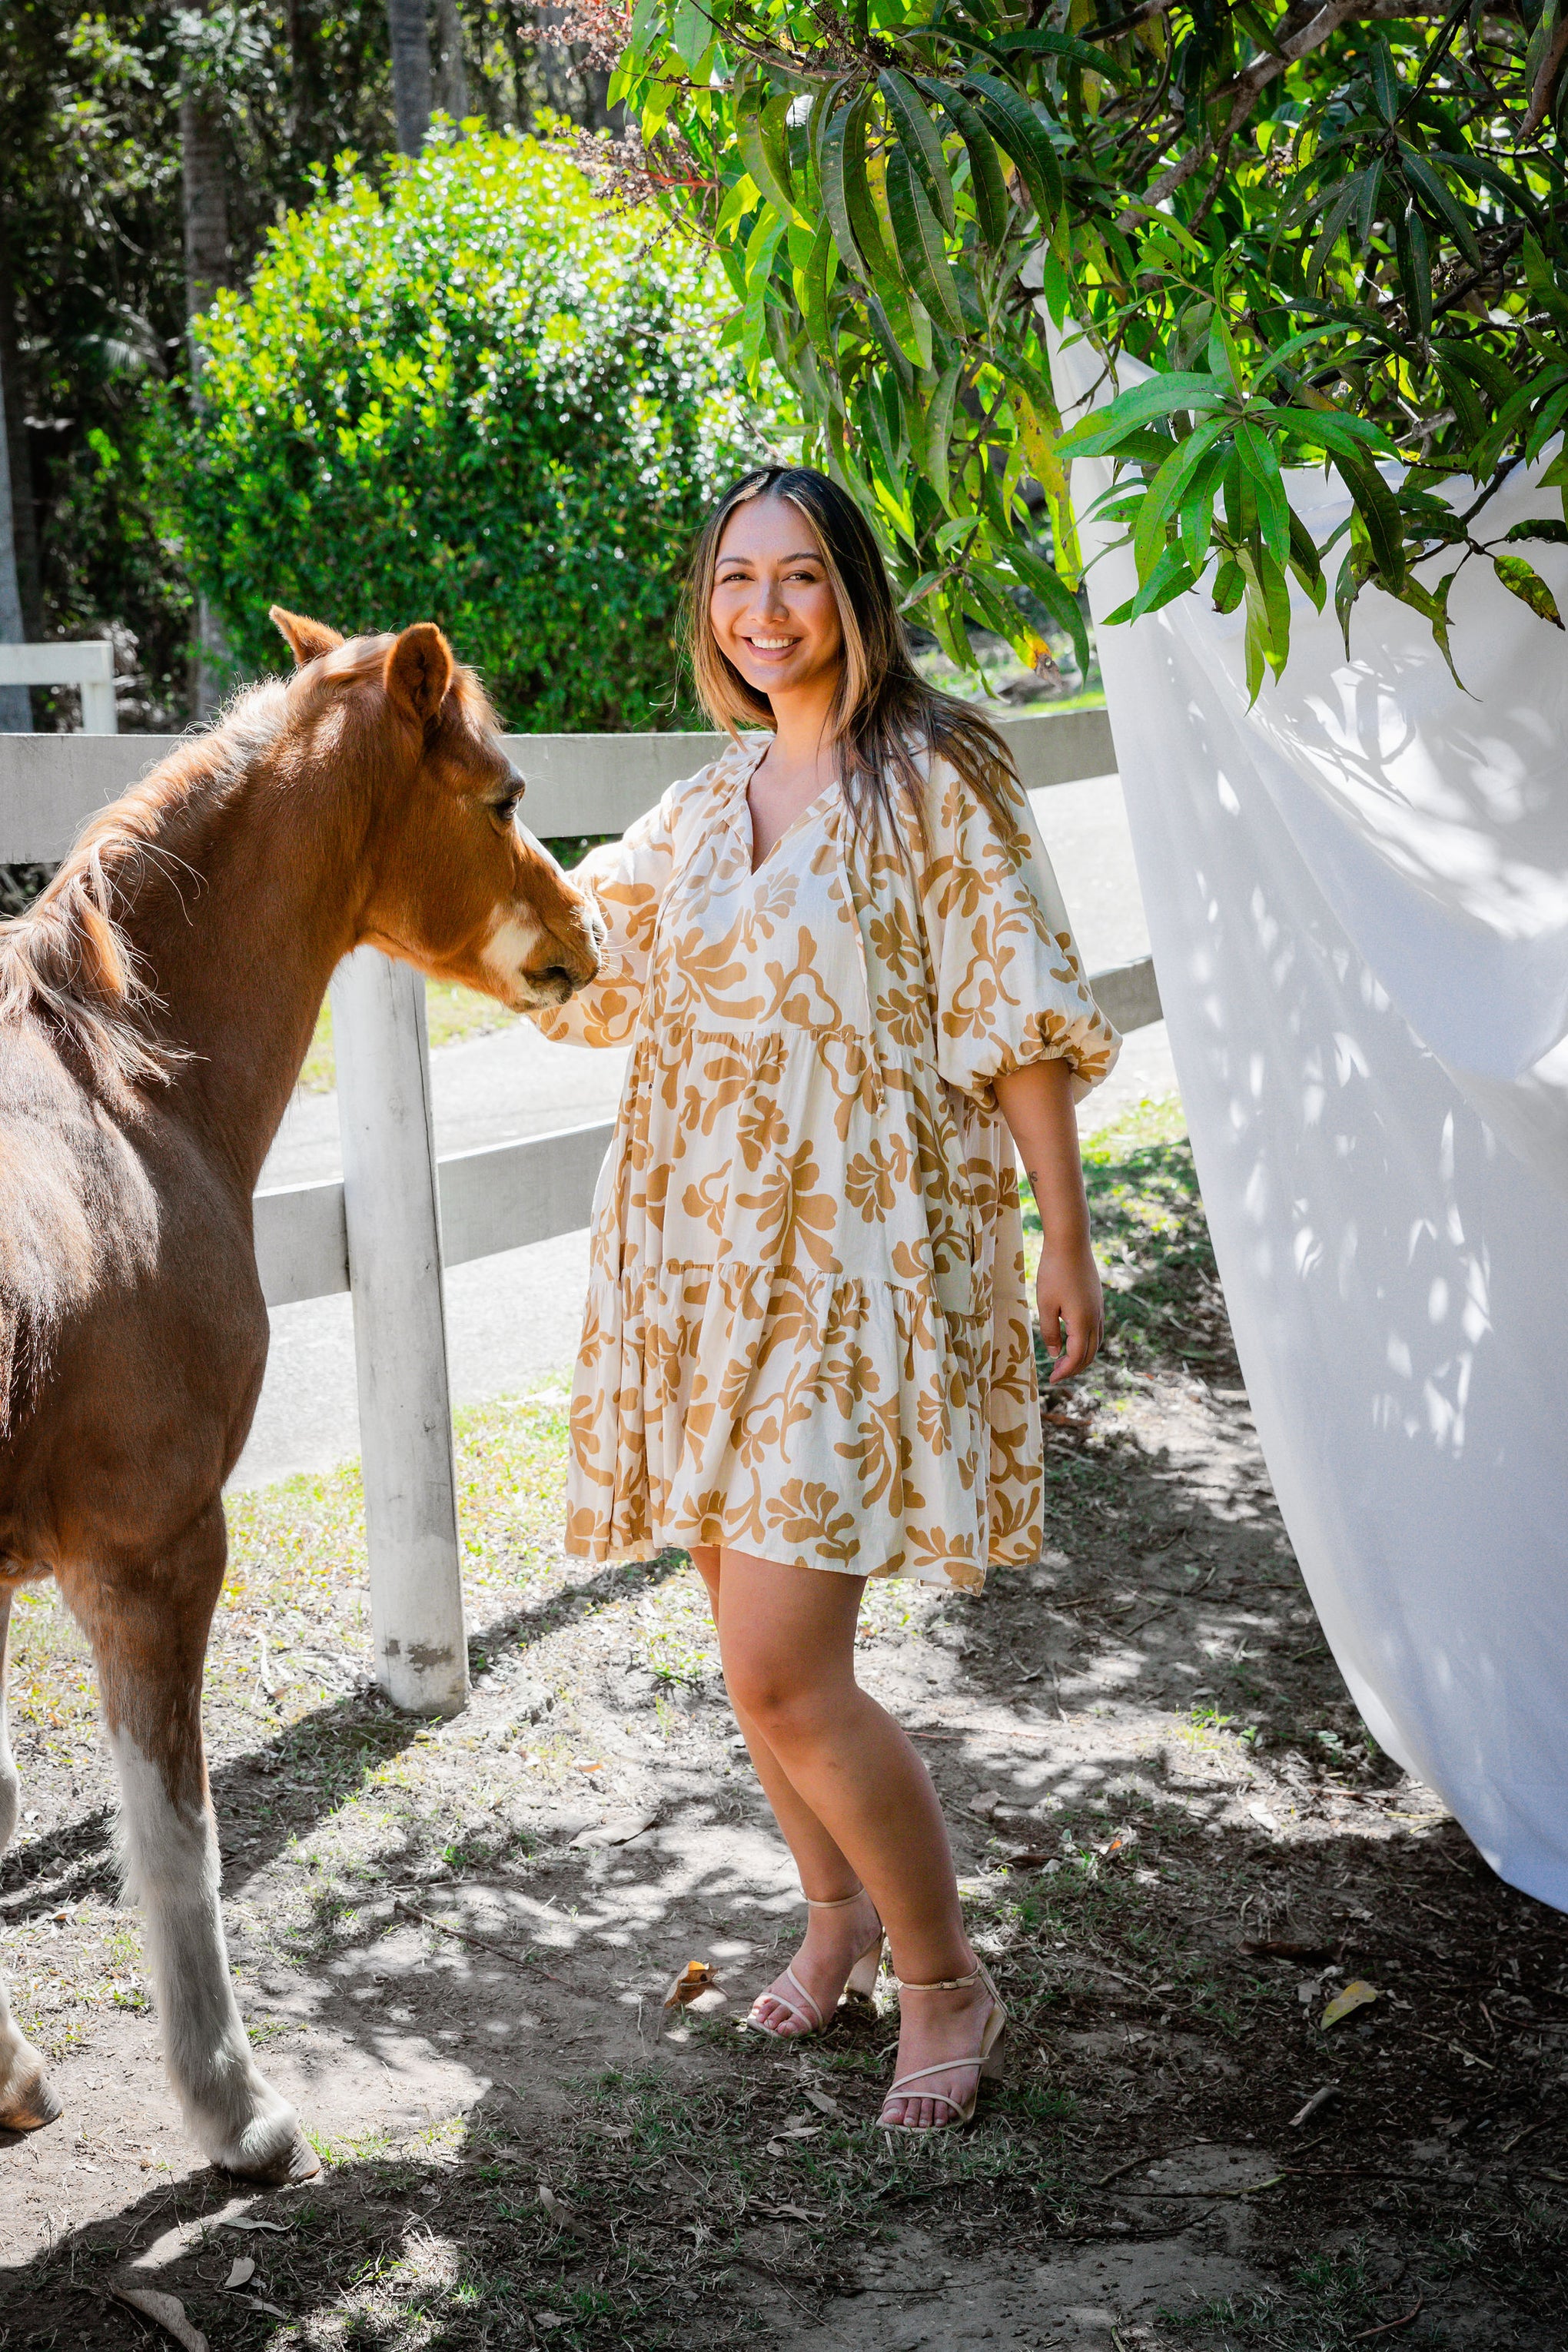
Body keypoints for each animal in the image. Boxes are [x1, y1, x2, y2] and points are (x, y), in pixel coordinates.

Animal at [0, 611, 601, 2182]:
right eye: (505, 798)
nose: (585, 940)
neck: (123, 1097)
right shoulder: (154, 1551)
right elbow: (174, 1836)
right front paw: (234, 2109)